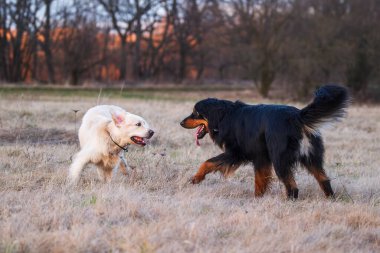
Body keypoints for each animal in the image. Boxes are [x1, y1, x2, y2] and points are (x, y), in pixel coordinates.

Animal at [181, 85, 350, 200]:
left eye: (195, 113)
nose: (181, 123)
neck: (224, 116)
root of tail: (297, 117)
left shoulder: (235, 153)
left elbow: (208, 162)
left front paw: (196, 178)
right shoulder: (261, 158)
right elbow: (260, 181)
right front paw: (258, 199)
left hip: (280, 159)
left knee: (293, 187)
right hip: (311, 158)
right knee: (324, 180)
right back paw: (330, 199)